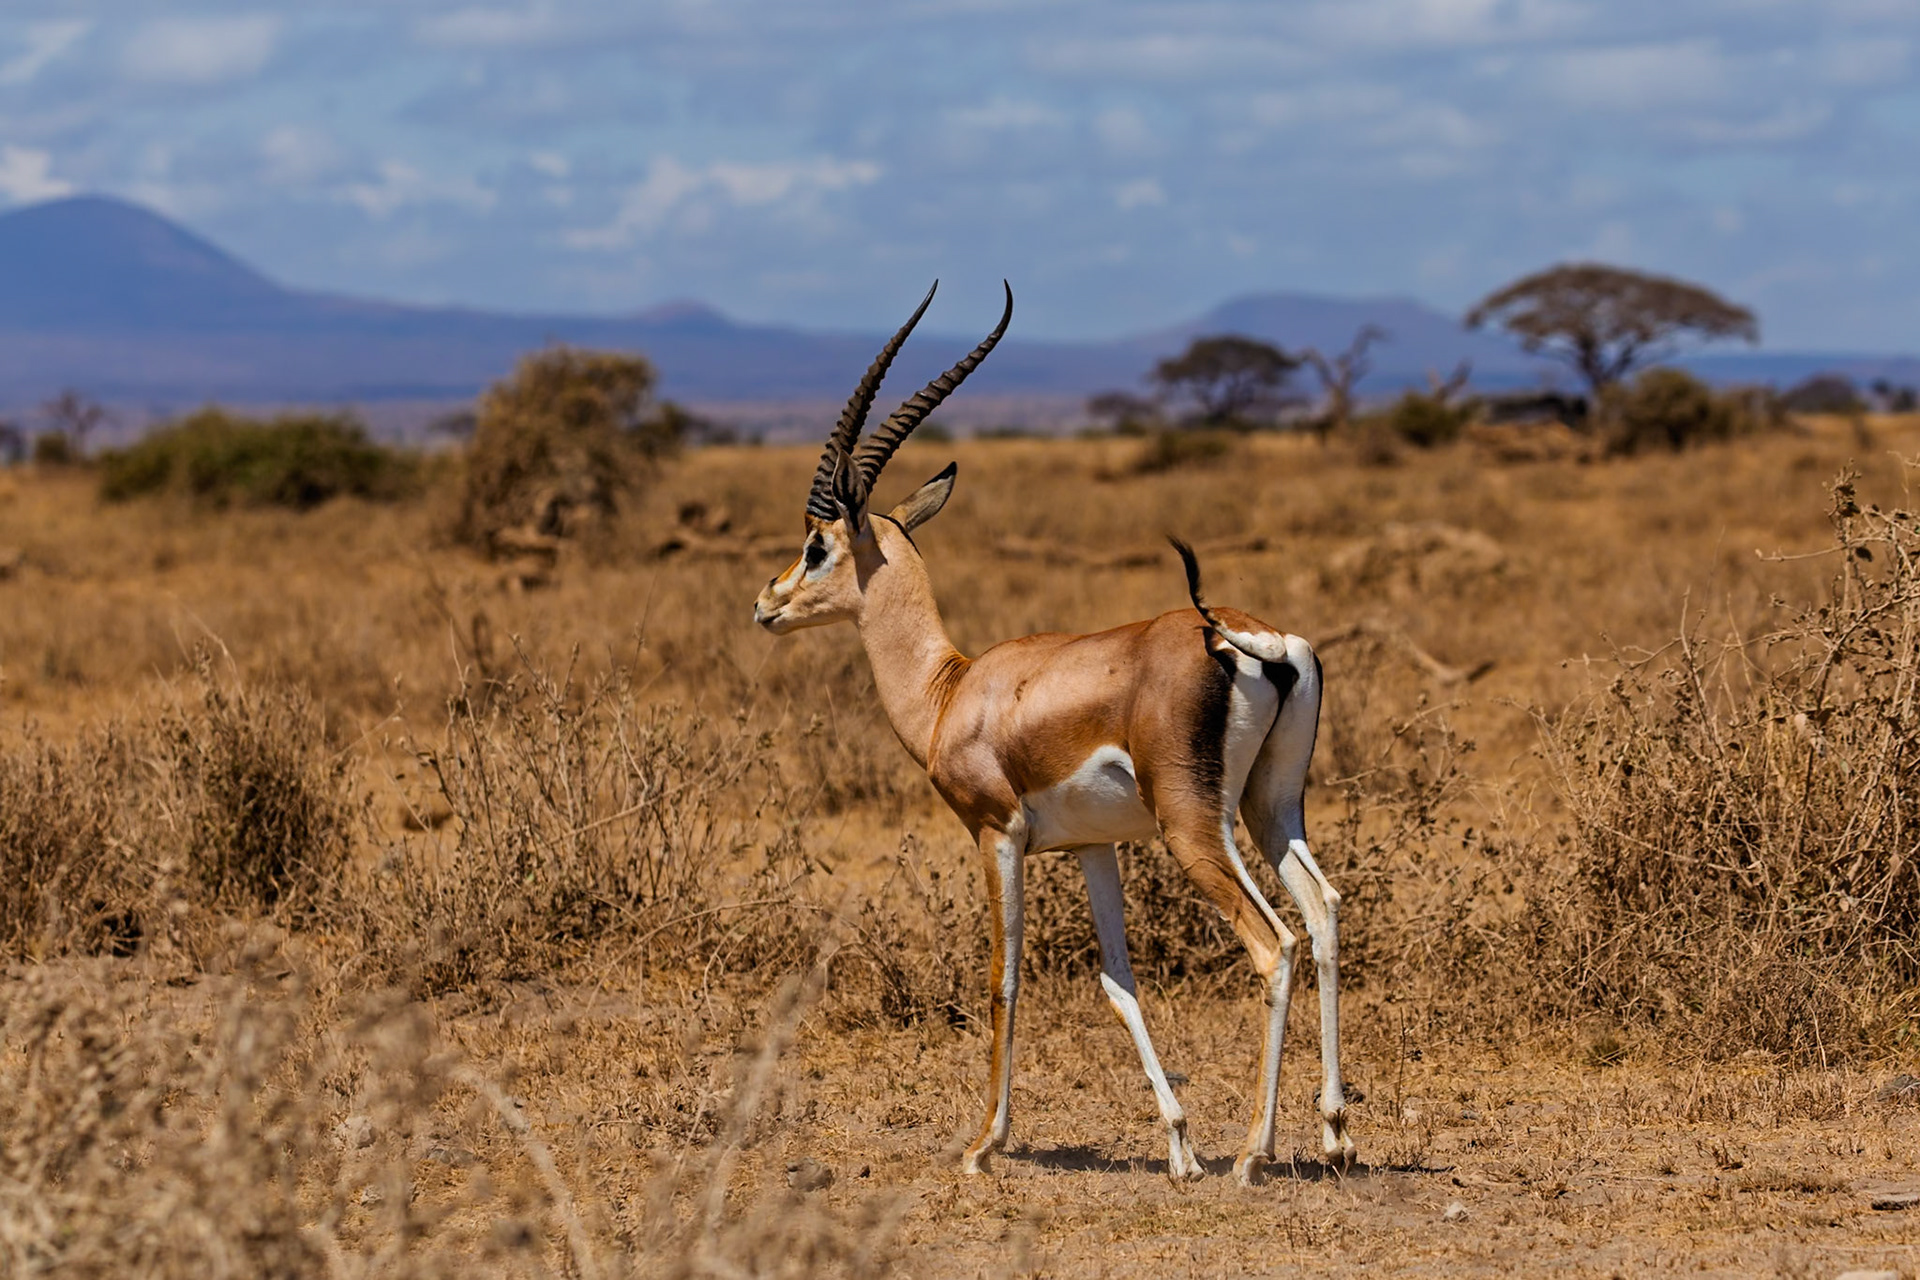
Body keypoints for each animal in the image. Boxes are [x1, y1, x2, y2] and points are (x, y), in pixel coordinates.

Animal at [752, 283, 1352, 1184]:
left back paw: (1255, 1152)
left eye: (817, 544)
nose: (767, 604)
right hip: (1270, 808)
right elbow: (1118, 981)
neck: (951, 690)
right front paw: (1179, 1147)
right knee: (1322, 914)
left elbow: (1003, 975)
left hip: (1194, 827)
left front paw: (982, 1144)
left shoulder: (997, 834)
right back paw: (1335, 1130)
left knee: (1272, 942)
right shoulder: (1093, 847)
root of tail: (1254, 640)